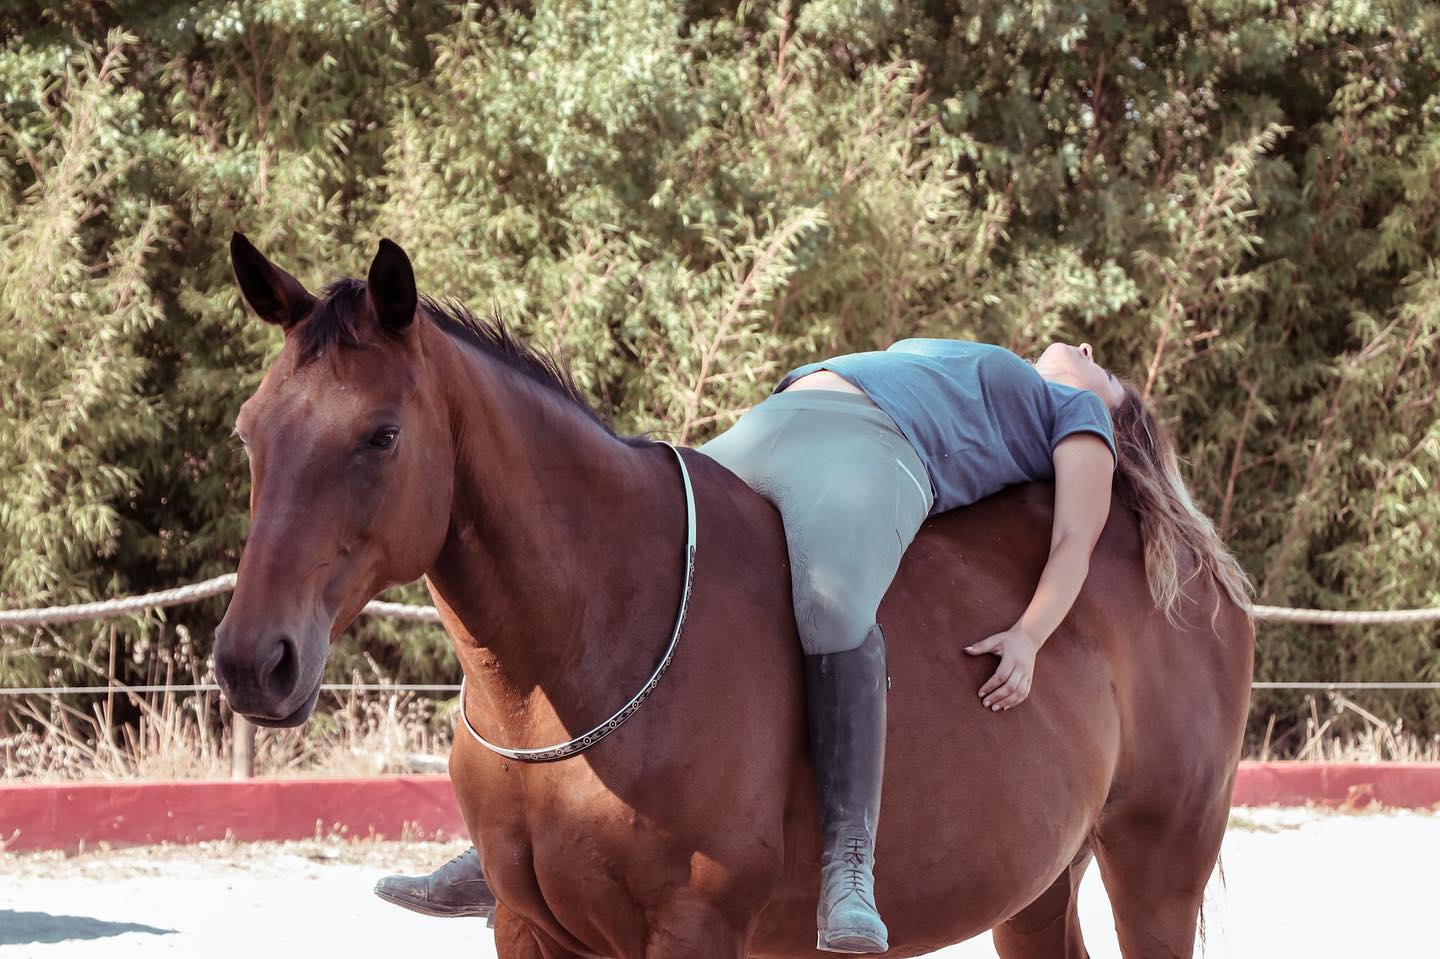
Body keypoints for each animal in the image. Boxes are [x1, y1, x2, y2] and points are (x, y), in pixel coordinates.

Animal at [214, 234, 1254, 959]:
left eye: (382, 435)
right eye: (249, 429)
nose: (254, 661)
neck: (595, 636)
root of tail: (1181, 553)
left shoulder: (694, 927)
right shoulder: (527, 928)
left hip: (1157, 866)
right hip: (1038, 884)